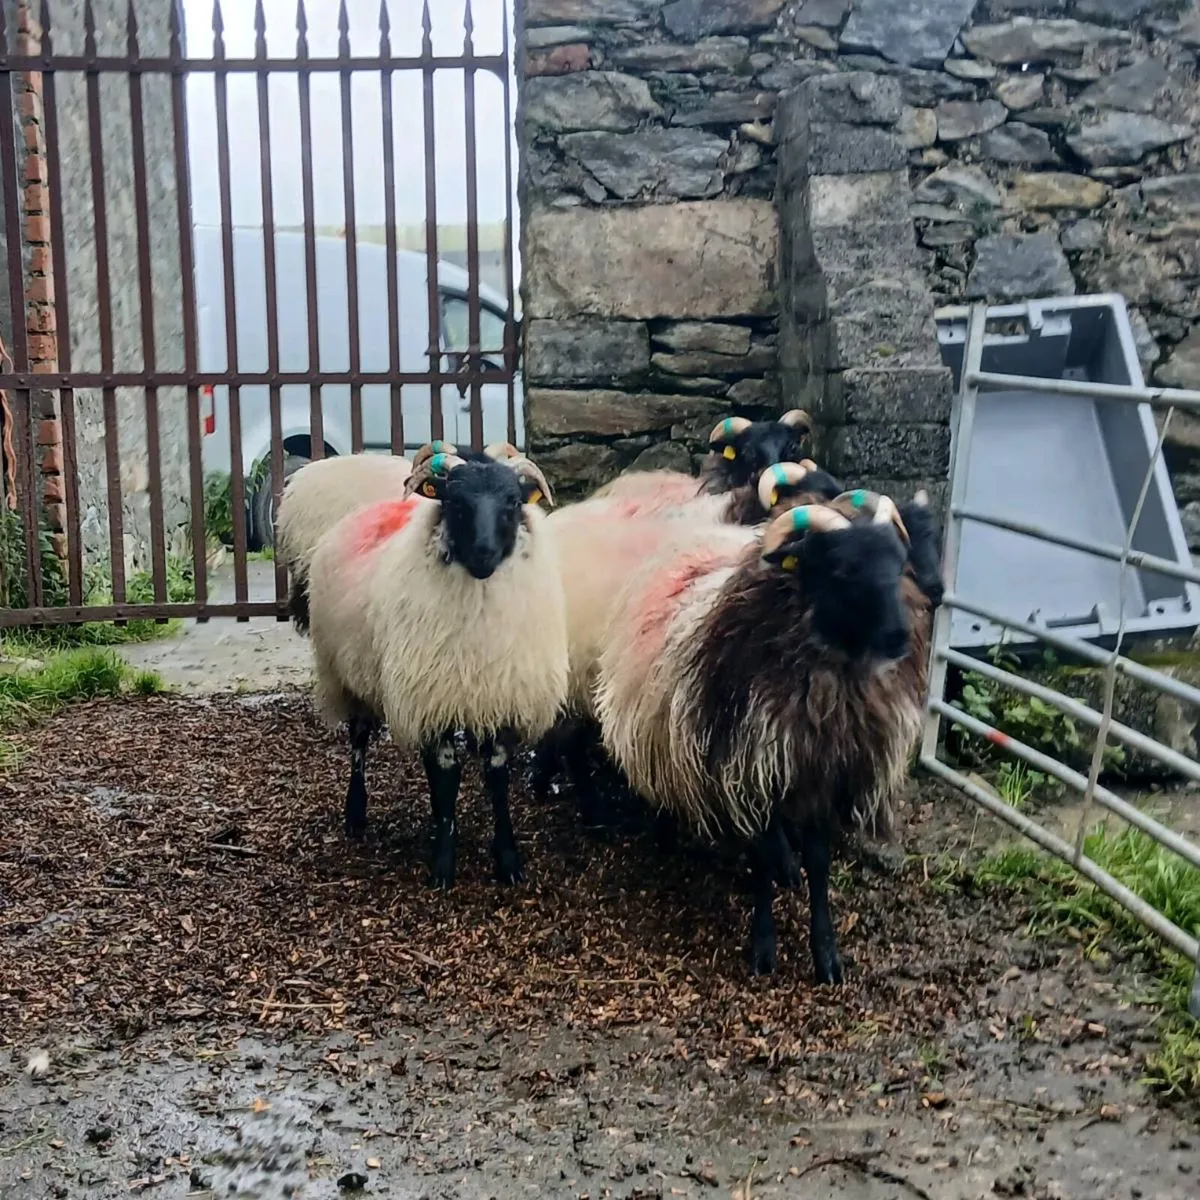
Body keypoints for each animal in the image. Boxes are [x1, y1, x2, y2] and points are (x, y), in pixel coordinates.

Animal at [305, 448, 566, 887]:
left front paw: (507, 860)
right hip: (349, 675)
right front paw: (443, 863)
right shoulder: (432, 698)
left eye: (512, 502)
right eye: (455, 503)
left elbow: (495, 777)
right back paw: (355, 814)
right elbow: (445, 777)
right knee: (358, 741)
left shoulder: (497, 699)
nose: (483, 553)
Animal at [594, 489, 937, 982]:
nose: (899, 637)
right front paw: (763, 946)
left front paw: (825, 952)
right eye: (842, 569)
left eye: (899, 563)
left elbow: (818, 864)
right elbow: (760, 855)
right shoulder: (748, 770)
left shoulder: (823, 775)